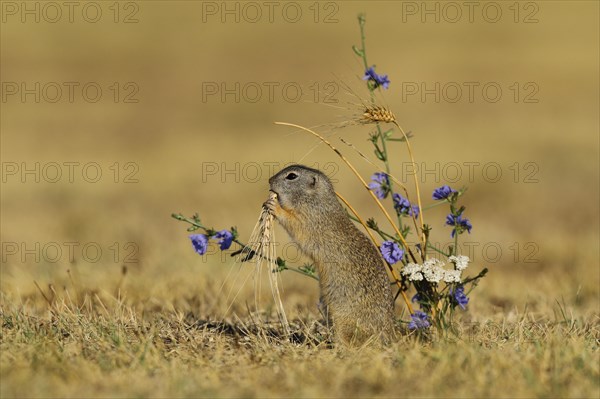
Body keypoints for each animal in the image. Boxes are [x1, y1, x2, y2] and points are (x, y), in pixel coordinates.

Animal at [266, 164, 396, 346]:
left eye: (291, 176)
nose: (269, 180)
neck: (316, 199)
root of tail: (389, 333)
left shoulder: (309, 220)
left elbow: (293, 222)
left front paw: (274, 205)